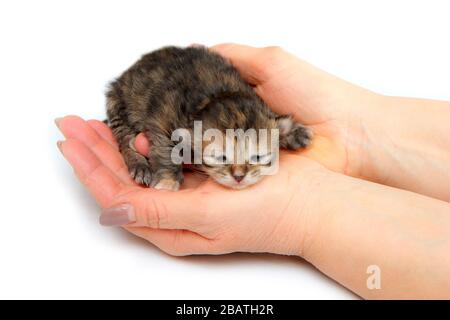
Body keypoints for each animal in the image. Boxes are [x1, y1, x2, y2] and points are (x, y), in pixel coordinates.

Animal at [105, 45, 312, 190]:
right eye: (220, 157)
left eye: (258, 156)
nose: (239, 177)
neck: (215, 96)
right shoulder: (164, 119)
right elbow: (166, 149)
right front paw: (168, 180)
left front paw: (293, 131)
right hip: (117, 104)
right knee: (125, 140)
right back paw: (139, 165)